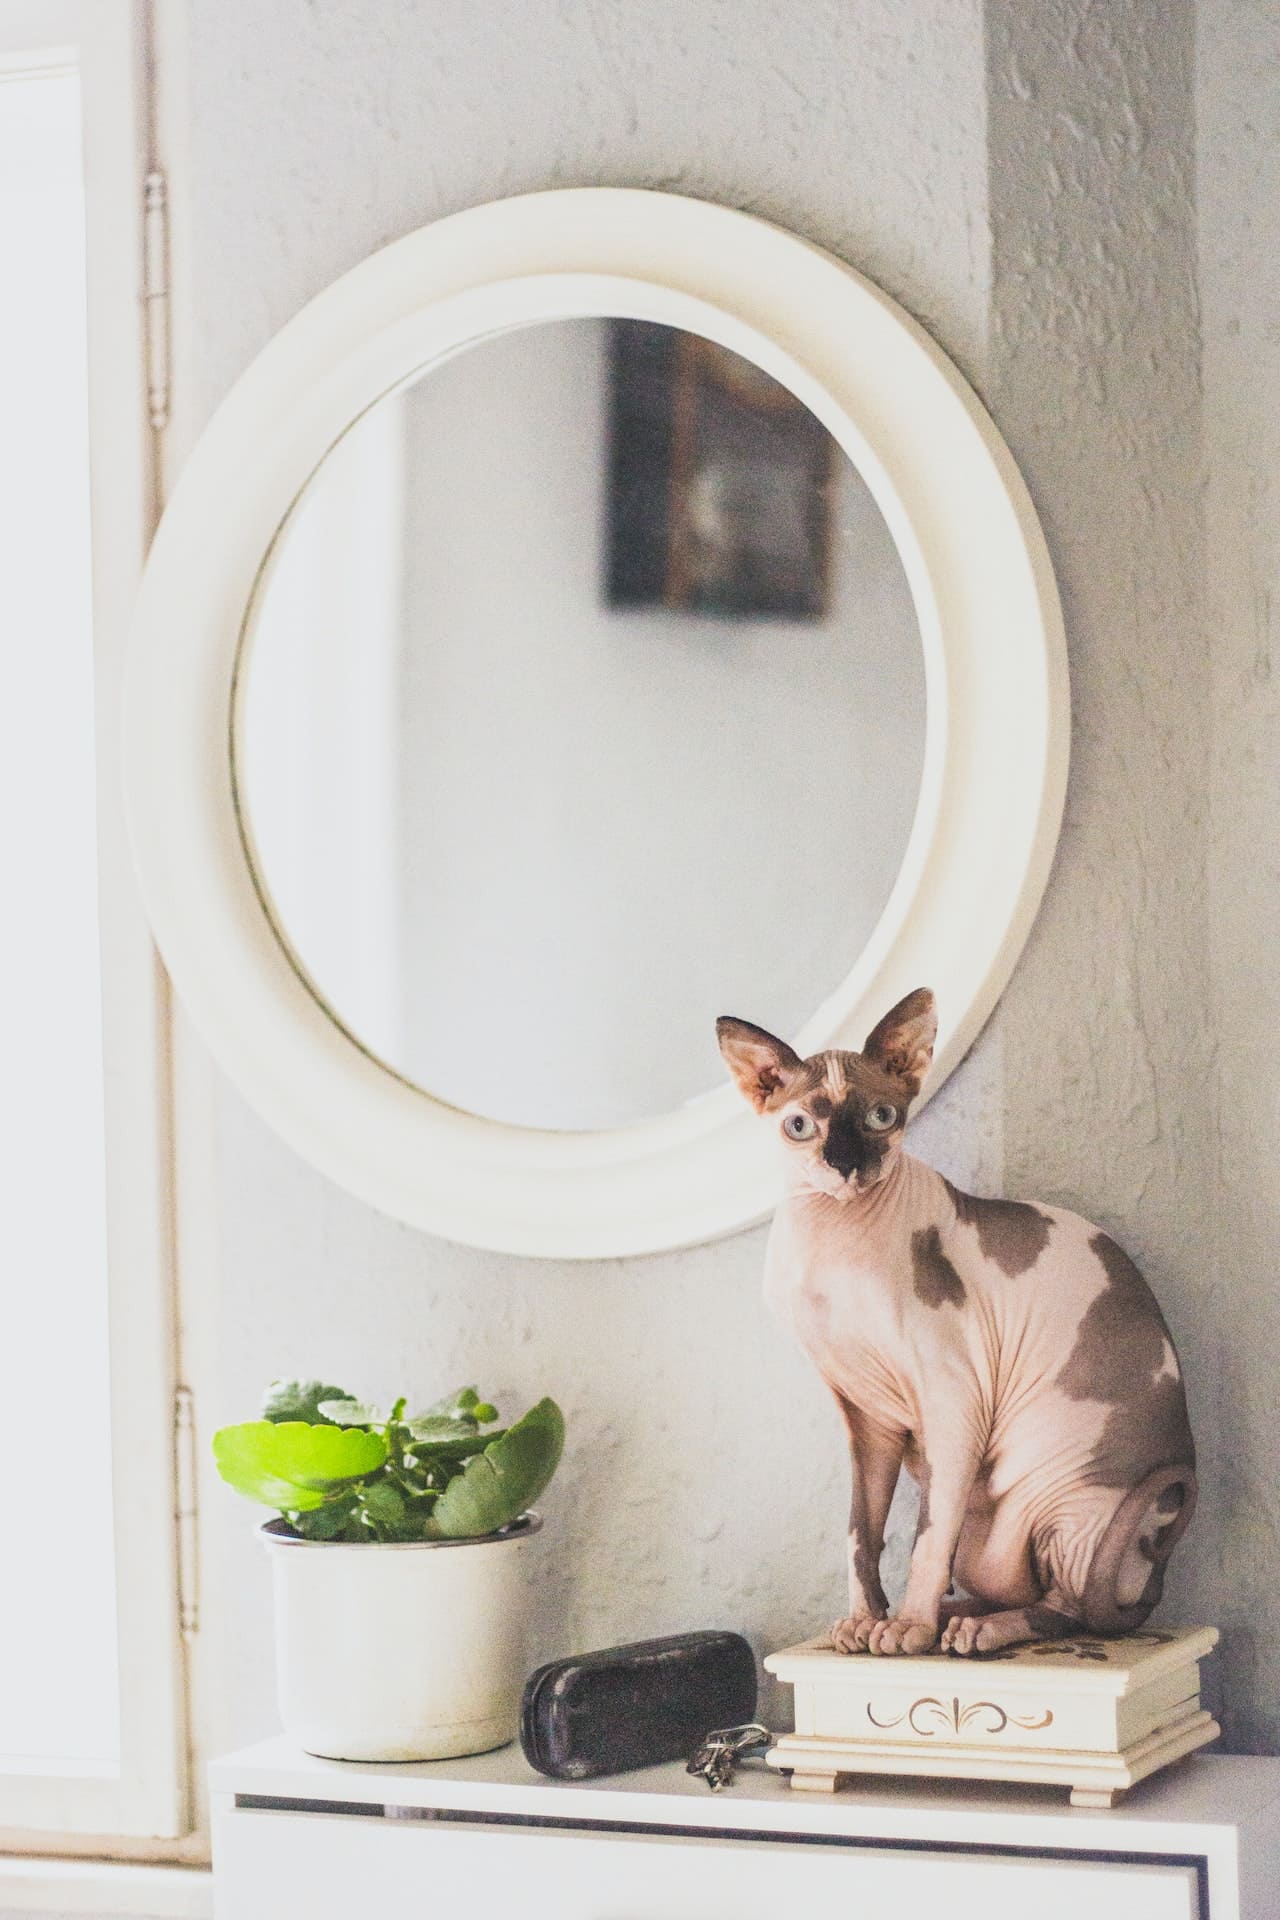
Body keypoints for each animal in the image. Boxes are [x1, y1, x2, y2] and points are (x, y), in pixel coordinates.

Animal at [717, 990, 1197, 1651]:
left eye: (881, 1117)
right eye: (799, 1126)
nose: (844, 1165)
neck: (830, 1241)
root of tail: (1157, 1573)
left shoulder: (952, 1399)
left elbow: (926, 1534)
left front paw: (907, 1627)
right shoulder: (864, 1414)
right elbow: (859, 1531)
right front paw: (865, 1619)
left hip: (1069, 1501)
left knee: (1063, 1606)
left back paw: (972, 1630)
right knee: (1014, 1587)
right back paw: (952, 1616)